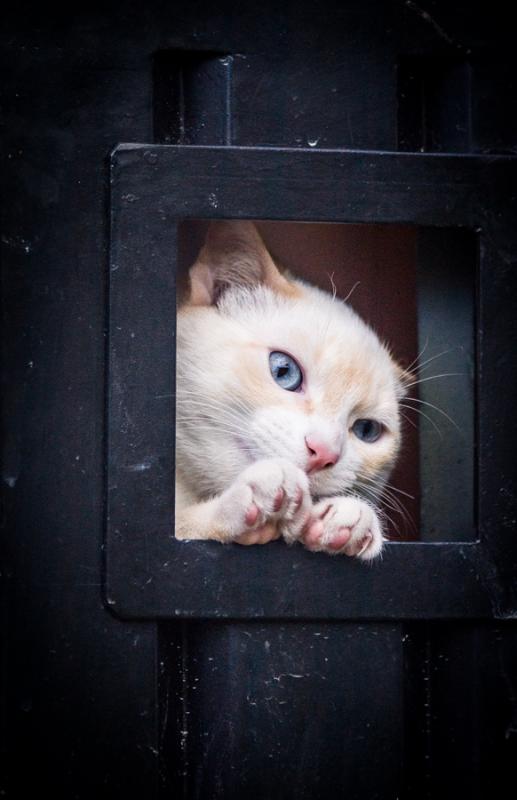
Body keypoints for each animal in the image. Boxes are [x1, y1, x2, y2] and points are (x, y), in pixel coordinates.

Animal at [175, 219, 410, 556]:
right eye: (284, 371)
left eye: (367, 430)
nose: (324, 452)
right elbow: (182, 525)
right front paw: (255, 498)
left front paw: (346, 519)